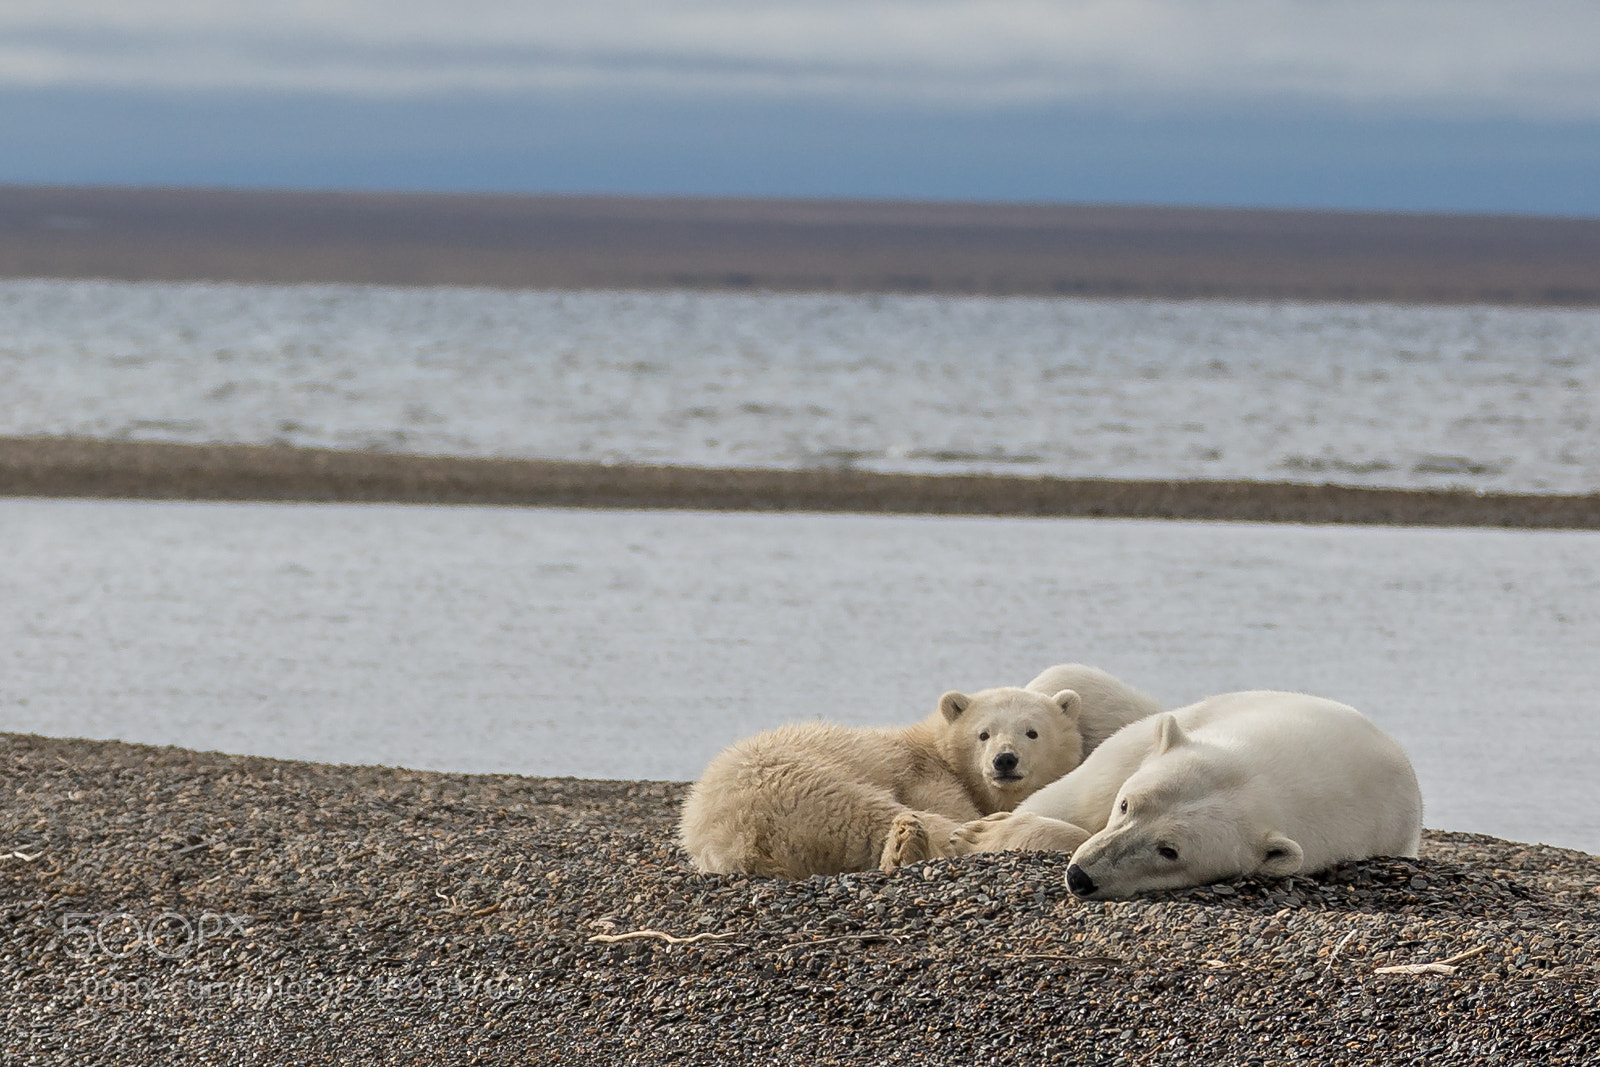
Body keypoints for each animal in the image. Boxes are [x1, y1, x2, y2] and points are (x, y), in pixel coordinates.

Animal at [677, 685, 1085, 879]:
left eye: (1032, 732)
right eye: (983, 734)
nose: (1004, 760)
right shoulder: (924, 775)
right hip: (799, 783)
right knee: (875, 812)